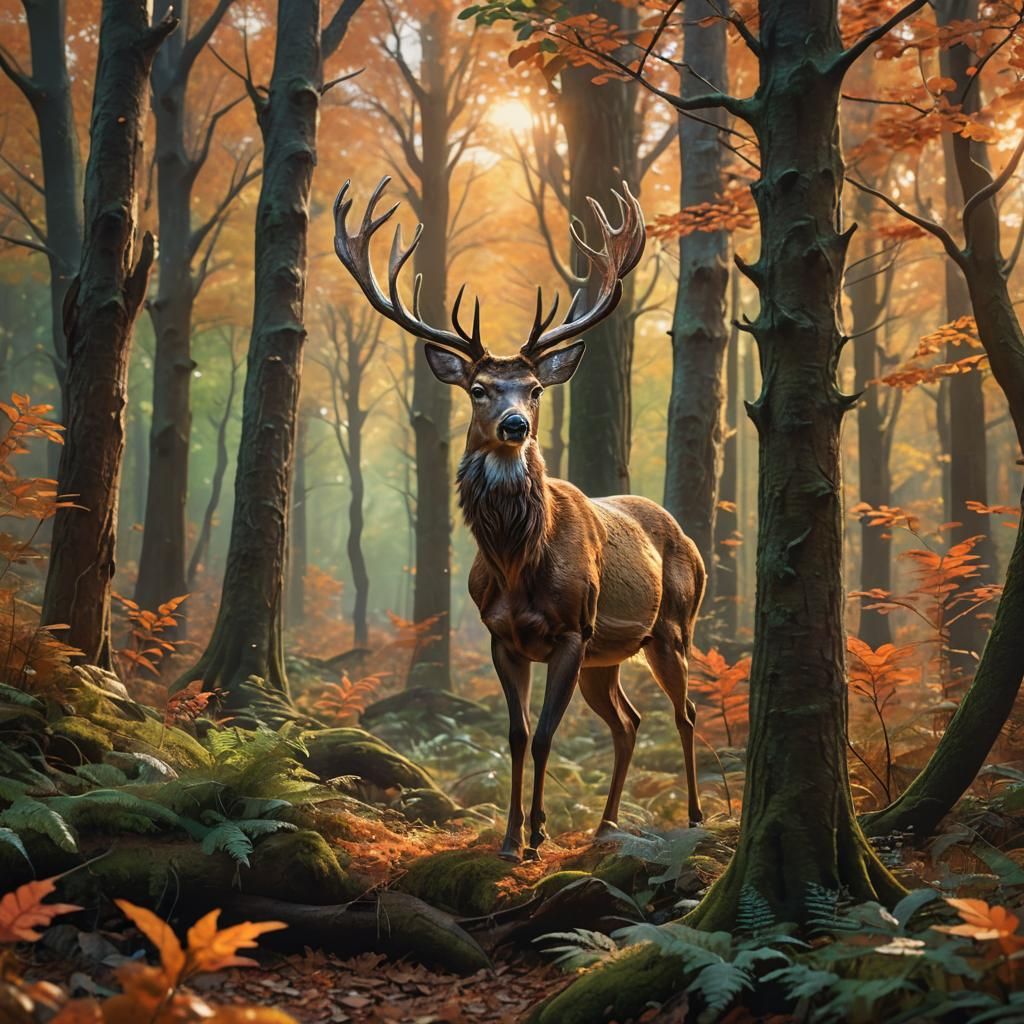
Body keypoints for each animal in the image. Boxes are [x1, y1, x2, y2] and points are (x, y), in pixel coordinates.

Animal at [333, 176, 705, 862]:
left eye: (533, 388)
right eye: (479, 388)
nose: (515, 425)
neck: (516, 563)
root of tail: (688, 541)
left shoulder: (571, 629)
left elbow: (546, 733)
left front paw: (535, 836)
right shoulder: (501, 635)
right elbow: (515, 732)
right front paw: (509, 839)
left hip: (670, 628)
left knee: (684, 713)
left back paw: (692, 816)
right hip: (607, 657)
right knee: (628, 722)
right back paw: (606, 825)